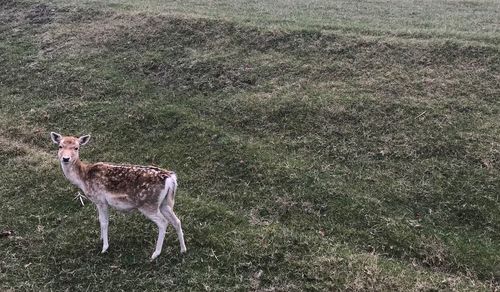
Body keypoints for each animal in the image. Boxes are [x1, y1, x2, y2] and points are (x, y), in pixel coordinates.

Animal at [49, 132, 187, 260]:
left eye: (76, 148)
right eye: (60, 146)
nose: (65, 158)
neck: (83, 179)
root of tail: (171, 179)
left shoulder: (101, 200)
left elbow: (104, 222)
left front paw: (104, 247)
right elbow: (100, 220)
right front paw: (101, 238)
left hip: (148, 204)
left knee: (163, 222)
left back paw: (155, 254)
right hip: (165, 203)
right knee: (177, 221)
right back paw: (183, 249)